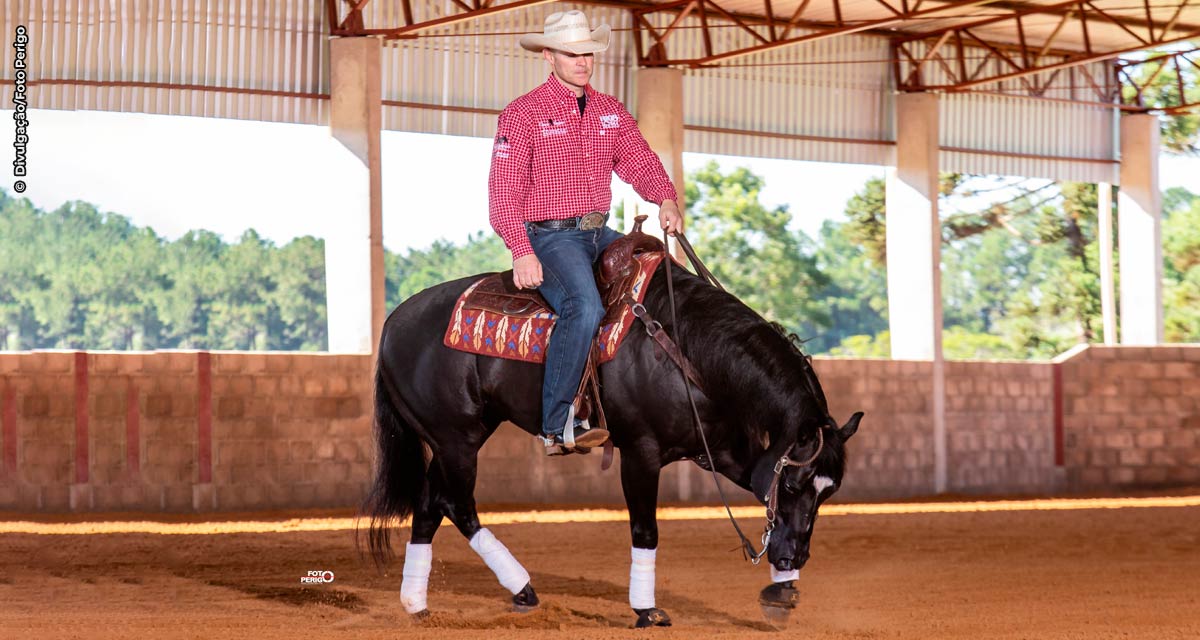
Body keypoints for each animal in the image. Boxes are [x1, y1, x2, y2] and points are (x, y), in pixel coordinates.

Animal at [364, 256, 864, 624]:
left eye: (830, 491)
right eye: (795, 484)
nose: (794, 556)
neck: (687, 348)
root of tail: (392, 322)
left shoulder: (722, 450)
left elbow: (763, 489)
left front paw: (783, 588)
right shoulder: (640, 453)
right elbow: (646, 529)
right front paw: (646, 609)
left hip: (457, 437)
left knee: (429, 504)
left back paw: (417, 603)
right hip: (457, 439)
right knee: (455, 503)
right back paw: (522, 588)